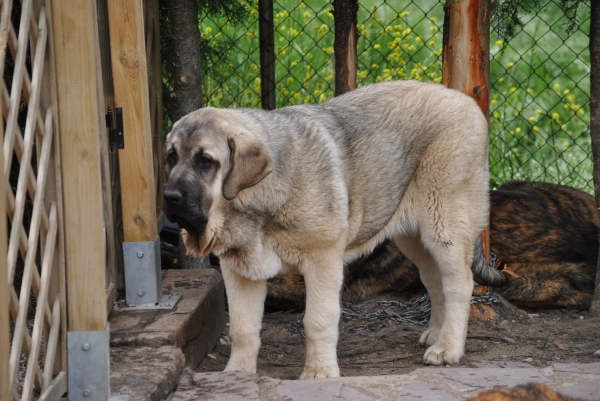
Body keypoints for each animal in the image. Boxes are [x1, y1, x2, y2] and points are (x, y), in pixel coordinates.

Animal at [162, 79, 504, 376]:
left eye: (205, 161)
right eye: (171, 157)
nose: (169, 197)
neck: (256, 201)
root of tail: (464, 99)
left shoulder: (322, 260)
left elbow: (317, 320)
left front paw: (319, 374)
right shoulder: (240, 270)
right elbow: (242, 328)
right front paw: (237, 375)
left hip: (444, 225)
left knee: (459, 284)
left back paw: (448, 348)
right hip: (415, 237)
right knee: (435, 282)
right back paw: (436, 334)